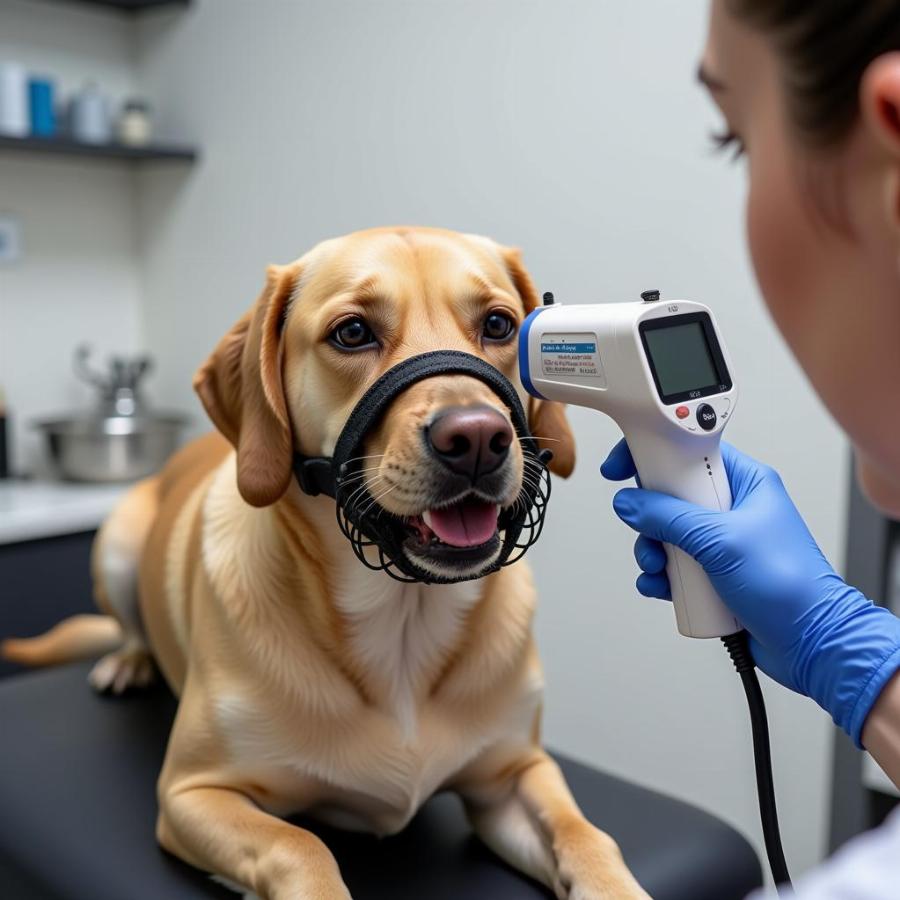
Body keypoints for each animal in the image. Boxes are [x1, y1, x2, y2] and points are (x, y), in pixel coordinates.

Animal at [1, 227, 648, 900]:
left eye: (498, 324)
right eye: (353, 332)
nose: (476, 439)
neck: (403, 622)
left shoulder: (515, 773)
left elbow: (589, 839)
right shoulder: (193, 793)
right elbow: (301, 846)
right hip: (117, 546)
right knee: (129, 628)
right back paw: (128, 662)